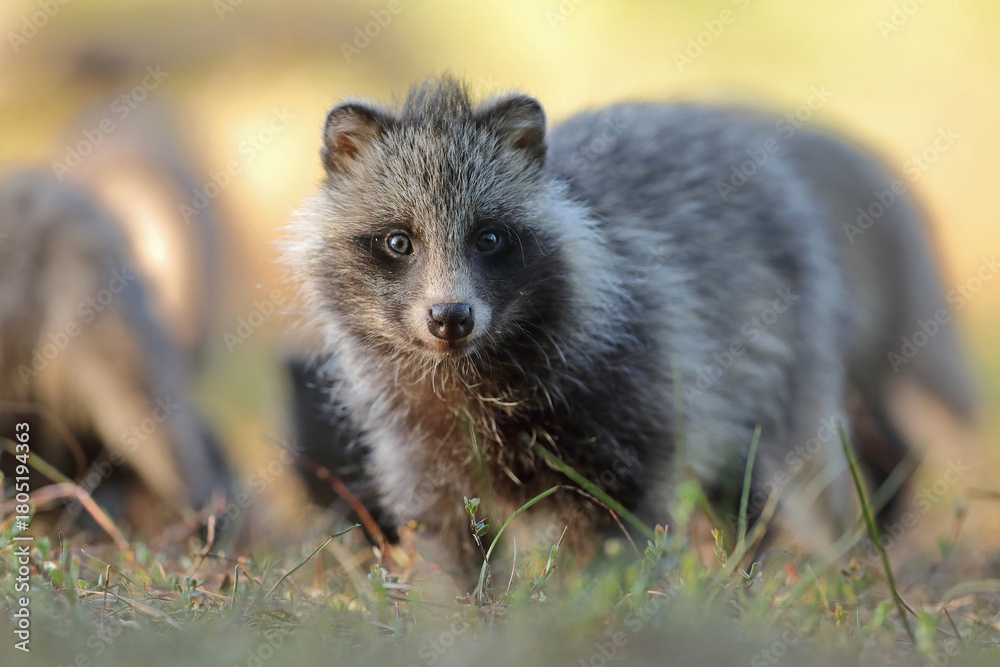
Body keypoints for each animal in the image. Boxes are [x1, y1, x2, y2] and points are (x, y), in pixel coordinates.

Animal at [284, 77, 965, 573]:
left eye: (490, 238)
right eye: (398, 242)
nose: (450, 318)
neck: (468, 372)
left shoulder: (632, 381)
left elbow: (616, 519)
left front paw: (594, 603)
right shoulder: (414, 435)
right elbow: (446, 533)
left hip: (773, 351)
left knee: (744, 478)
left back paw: (738, 567)